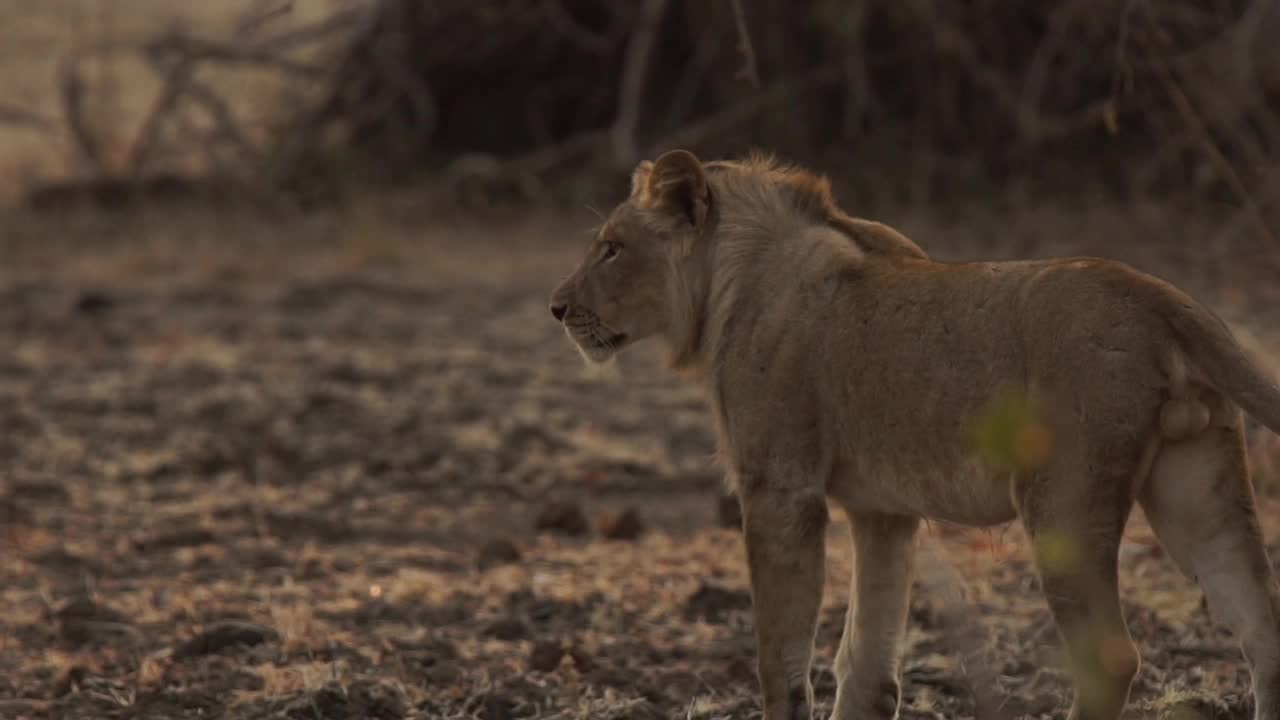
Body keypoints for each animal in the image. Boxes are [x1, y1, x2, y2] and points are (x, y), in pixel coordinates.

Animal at [545, 147, 1280, 717]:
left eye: (611, 249)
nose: (556, 308)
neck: (730, 279)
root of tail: (1154, 295)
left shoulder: (779, 490)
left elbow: (781, 661)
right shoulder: (884, 512)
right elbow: (865, 668)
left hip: (1064, 503)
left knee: (1111, 659)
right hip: (1197, 485)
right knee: (1261, 630)